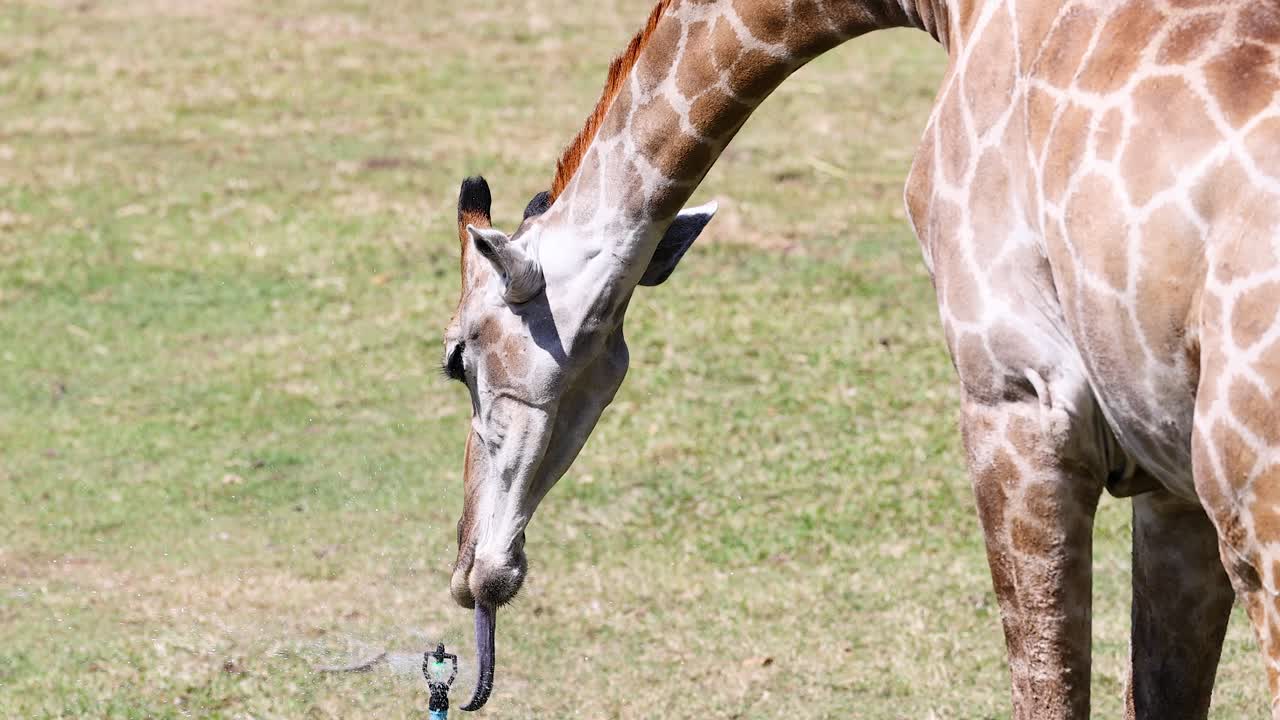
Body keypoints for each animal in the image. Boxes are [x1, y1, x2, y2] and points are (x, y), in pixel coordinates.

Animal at [440, 0, 1280, 716]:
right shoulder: (1166, 481)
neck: (955, 12)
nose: (471, 570)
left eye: (456, 357)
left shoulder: (1017, 400)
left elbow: (1047, 690)